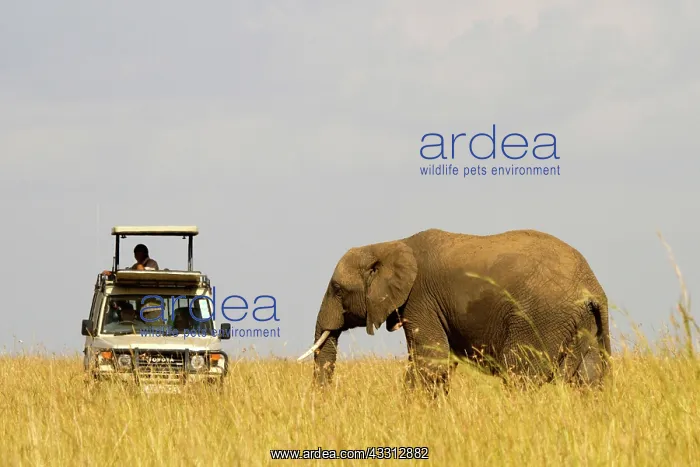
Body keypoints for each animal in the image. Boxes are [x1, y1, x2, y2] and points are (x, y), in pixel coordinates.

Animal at [298, 228, 611, 396]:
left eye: (338, 290)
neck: (389, 245)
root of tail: (592, 285)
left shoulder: (420, 299)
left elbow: (430, 364)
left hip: (540, 317)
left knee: (519, 373)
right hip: (582, 322)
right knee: (587, 378)